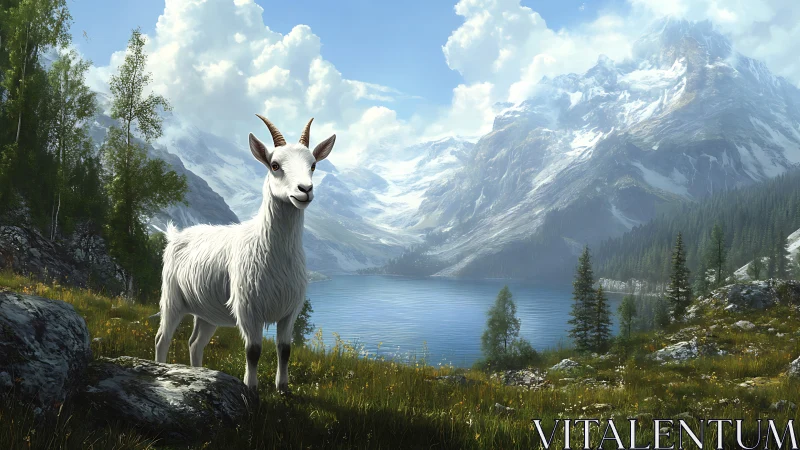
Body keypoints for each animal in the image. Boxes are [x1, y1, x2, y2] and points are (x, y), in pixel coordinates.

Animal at [155, 115, 335, 393]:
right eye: (275, 165)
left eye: (313, 164)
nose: (305, 189)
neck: (273, 252)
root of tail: (175, 235)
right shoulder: (249, 309)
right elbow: (253, 350)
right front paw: (251, 388)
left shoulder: (289, 311)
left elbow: (285, 350)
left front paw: (283, 388)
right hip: (172, 297)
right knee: (162, 338)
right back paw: (161, 368)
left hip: (207, 311)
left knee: (194, 343)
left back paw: (198, 372)